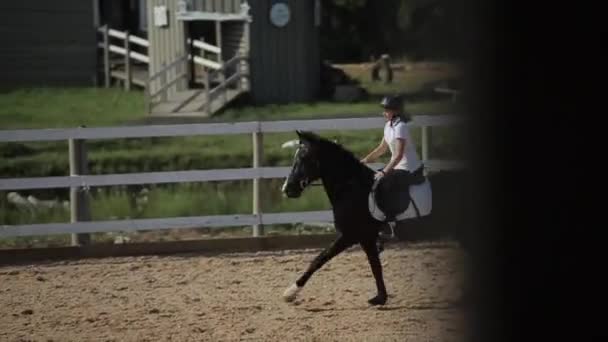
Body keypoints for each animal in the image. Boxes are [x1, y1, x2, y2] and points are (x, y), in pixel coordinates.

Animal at [280, 130, 470, 304]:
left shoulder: (352, 235)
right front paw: (381, 297)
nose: (287, 189)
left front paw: (290, 292)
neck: (351, 188)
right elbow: (375, 266)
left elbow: (320, 259)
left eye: (303, 158)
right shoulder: (365, 238)